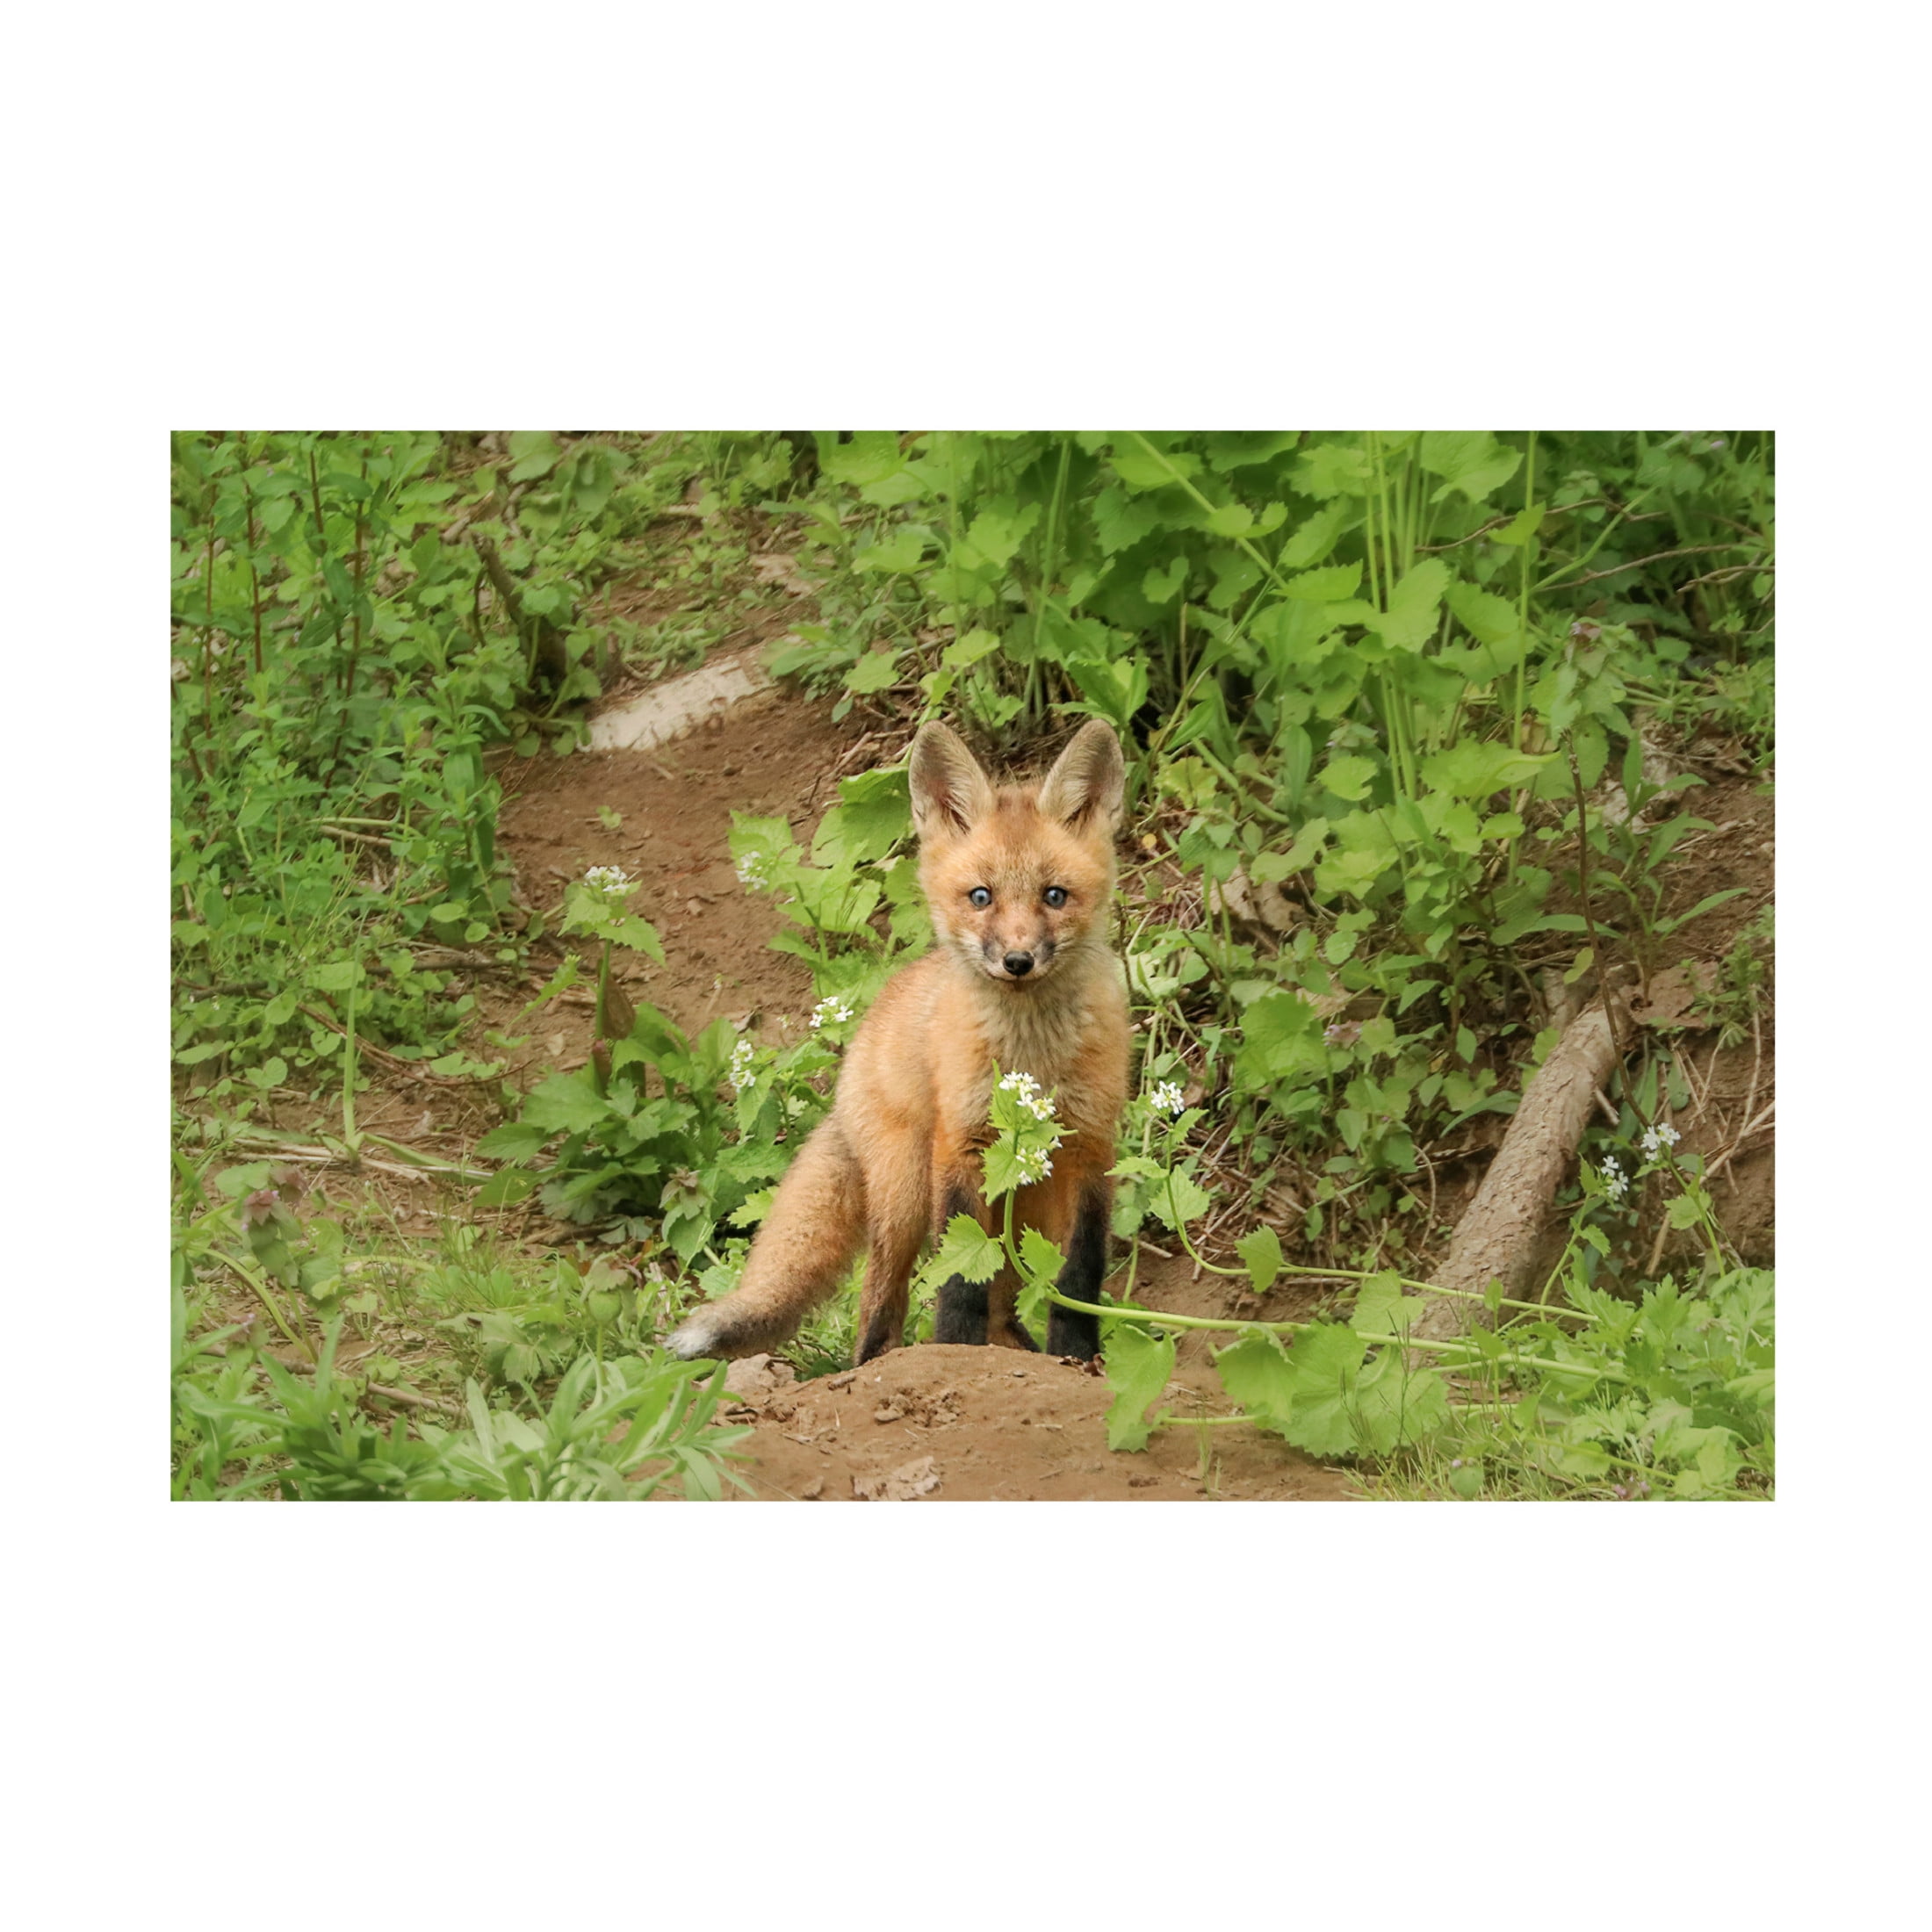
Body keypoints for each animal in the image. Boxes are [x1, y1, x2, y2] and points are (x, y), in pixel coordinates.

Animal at [665, 716, 1130, 1368]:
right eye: (981, 897)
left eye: (1055, 896)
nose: (1017, 961)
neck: (1030, 1057)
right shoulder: (962, 1143)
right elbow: (959, 1278)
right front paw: (953, 1350)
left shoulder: (1091, 1148)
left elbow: (1079, 1274)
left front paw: (1078, 1356)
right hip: (909, 1193)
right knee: (881, 1305)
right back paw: (877, 1363)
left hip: (1025, 1196)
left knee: (1003, 1300)